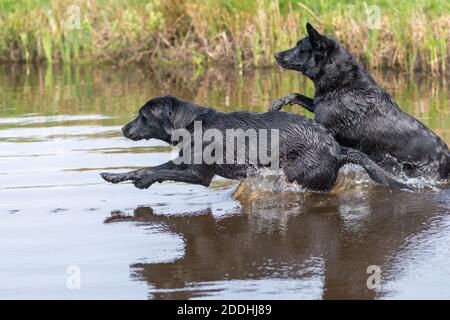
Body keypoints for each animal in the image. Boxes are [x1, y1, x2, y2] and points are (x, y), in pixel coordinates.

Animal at [101, 95, 408, 190]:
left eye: (142, 116)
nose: (123, 128)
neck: (193, 125)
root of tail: (338, 148)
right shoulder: (185, 163)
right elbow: (150, 168)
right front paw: (116, 176)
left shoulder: (199, 175)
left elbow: (157, 171)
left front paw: (142, 180)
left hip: (298, 174)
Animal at [268, 23, 448, 181]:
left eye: (299, 47)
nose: (276, 55)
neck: (342, 81)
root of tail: (446, 156)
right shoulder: (318, 105)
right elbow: (297, 95)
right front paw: (278, 103)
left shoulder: (324, 124)